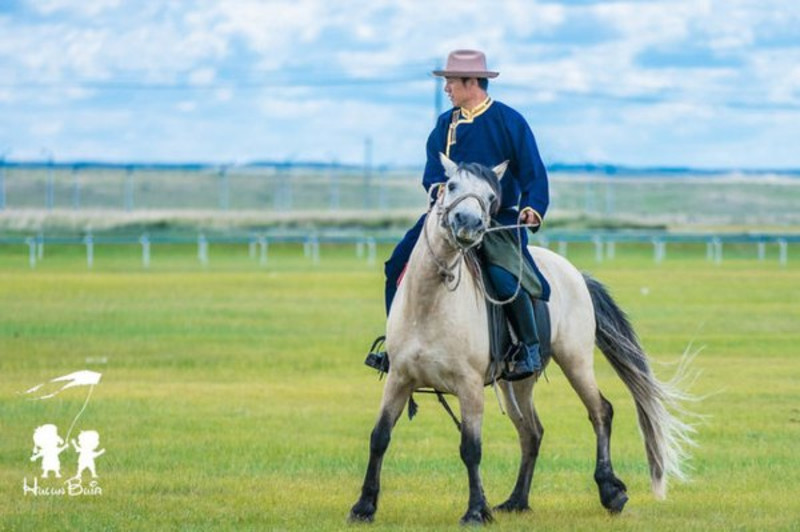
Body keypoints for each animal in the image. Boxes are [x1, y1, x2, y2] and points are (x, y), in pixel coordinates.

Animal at [350, 155, 692, 528]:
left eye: (490, 196)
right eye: (451, 185)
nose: (468, 223)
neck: (431, 303)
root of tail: (575, 274)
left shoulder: (469, 386)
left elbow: (471, 448)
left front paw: (475, 511)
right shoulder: (399, 379)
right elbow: (379, 437)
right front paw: (363, 507)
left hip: (575, 361)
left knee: (600, 411)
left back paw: (610, 491)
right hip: (517, 383)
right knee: (532, 432)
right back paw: (516, 500)